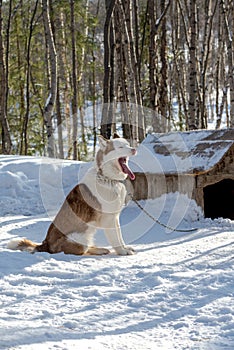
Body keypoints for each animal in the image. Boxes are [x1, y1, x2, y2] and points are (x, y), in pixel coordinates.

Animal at [7, 134, 137, 258]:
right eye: (120, 147)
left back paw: (101, 250)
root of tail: (46, 244)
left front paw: (125, 248)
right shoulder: (109, 220)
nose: (134, 149)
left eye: (128, 144)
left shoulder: (115, 218)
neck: (107, 178)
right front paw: (122, 252)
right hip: (80, 239)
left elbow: (120, 237)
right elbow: (116, 240)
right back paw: (98, 251)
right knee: (81, 251)